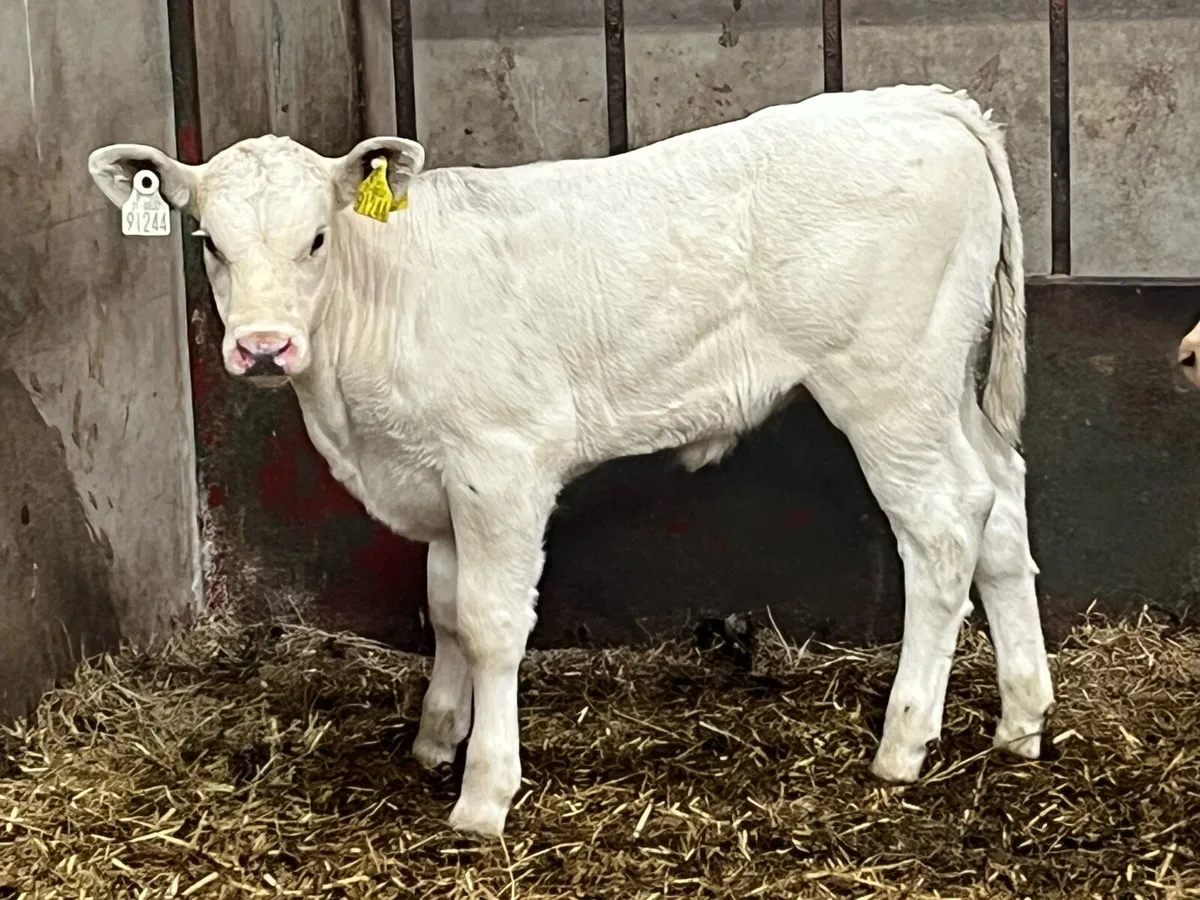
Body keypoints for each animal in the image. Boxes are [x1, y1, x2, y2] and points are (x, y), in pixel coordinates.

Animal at [89, 83, 1055, 838]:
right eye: (208, 241)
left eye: (317, 239)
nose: (262, 346)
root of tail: (926, 103)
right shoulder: (441, 480)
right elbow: (444, 608)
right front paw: (436, 737)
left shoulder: (500, 465)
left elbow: (489, 622)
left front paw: (484, 793)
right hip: (946, 385)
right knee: (1000, 501)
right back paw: (1021, 720)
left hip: (887, 384)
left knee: (943, 527)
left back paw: (903, 742)